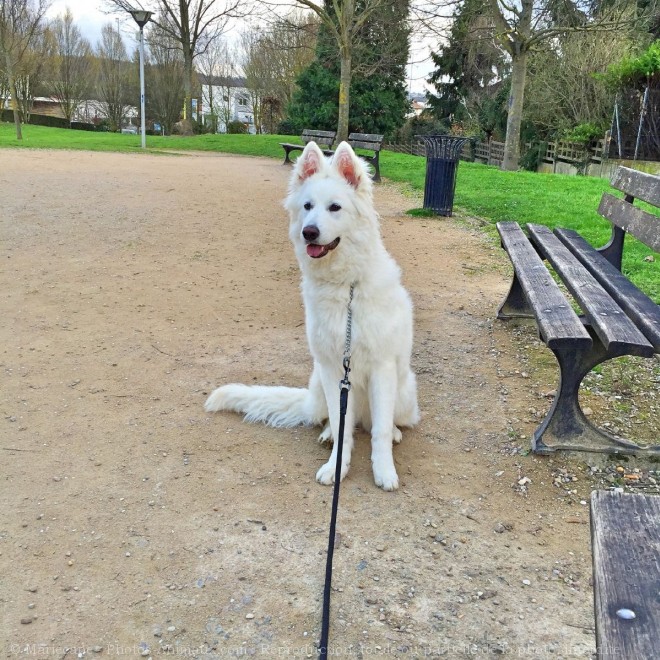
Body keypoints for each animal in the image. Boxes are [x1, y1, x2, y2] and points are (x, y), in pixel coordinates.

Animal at [205, 141, 418, 490]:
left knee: (382, 423)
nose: (309, 232)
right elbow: (342, 429)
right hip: (321, 382)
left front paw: (384, 470)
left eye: (335, 207)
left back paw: (395, 432)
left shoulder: (382, 368)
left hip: (404, 391)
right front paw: (336, 466)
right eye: (307, 206)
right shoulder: (332, 369)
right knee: (339, 420)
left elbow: (380, 432)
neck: (344, 287)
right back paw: (330, 433)